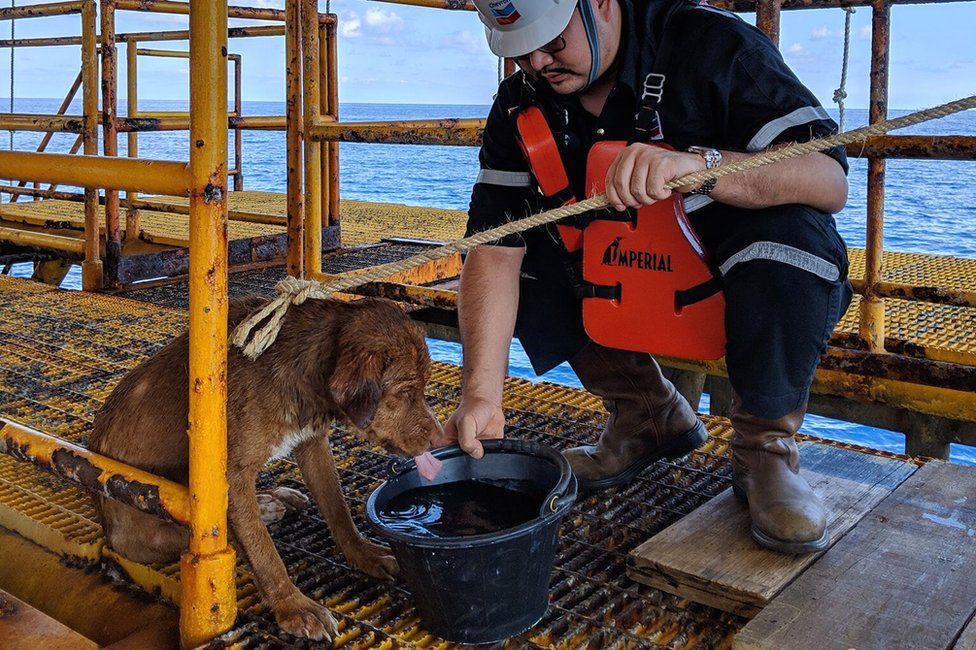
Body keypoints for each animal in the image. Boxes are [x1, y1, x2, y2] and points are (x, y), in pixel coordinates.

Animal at [91, 296, 442, 640]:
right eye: (406, 391)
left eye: (423, 387)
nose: (439, 438)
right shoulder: (232, 474)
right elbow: (264, 551)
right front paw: (294, 607)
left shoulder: (312, 444)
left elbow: (338, 509)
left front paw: (363, 553)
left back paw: (272, 499)